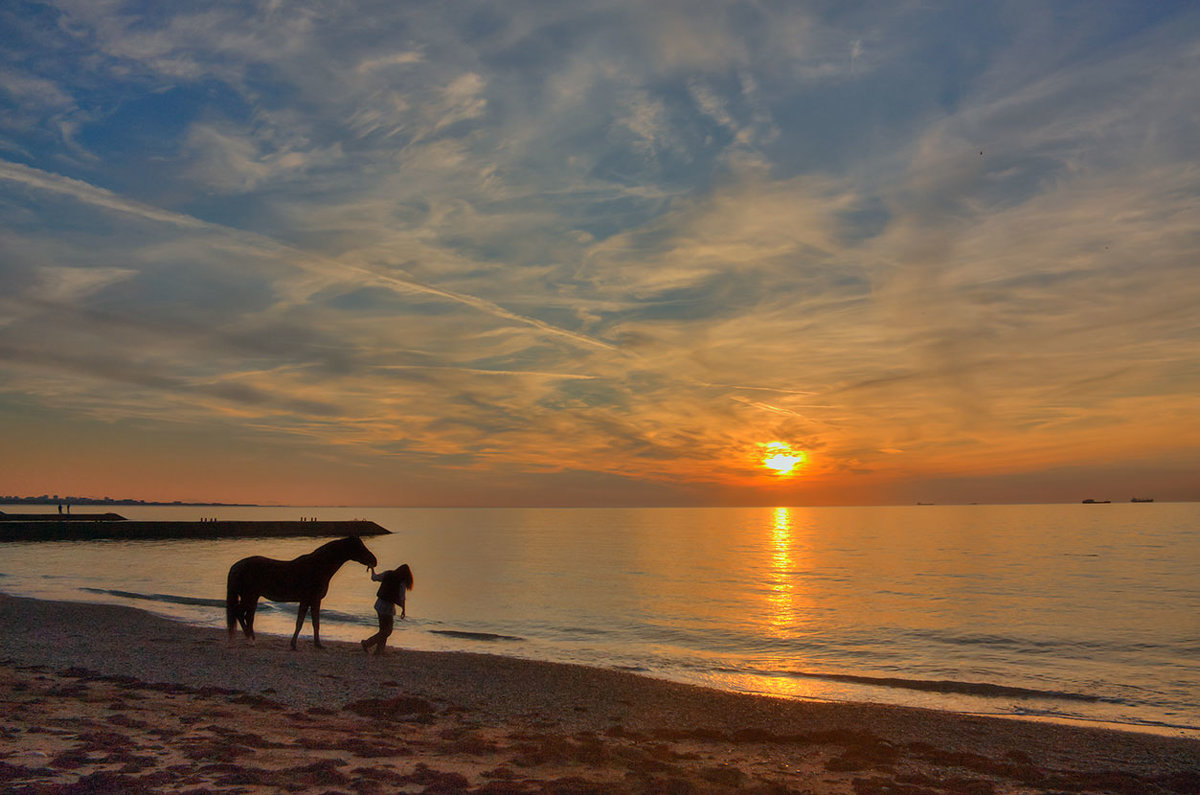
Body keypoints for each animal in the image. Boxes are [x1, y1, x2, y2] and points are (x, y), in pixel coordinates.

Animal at [224, 535, 374, 653]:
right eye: (360, 547)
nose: (374, 560)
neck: (317, 567)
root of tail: (236, 566)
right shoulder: (307, 600)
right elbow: (300, 622)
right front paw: (294, 645)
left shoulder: (314, 601)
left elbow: (315, 623)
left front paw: (317, 644)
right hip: (249, 597)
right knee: (240, 613)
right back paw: (250, 639)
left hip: (251, 598)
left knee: (246, 616)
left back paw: (250, 638)